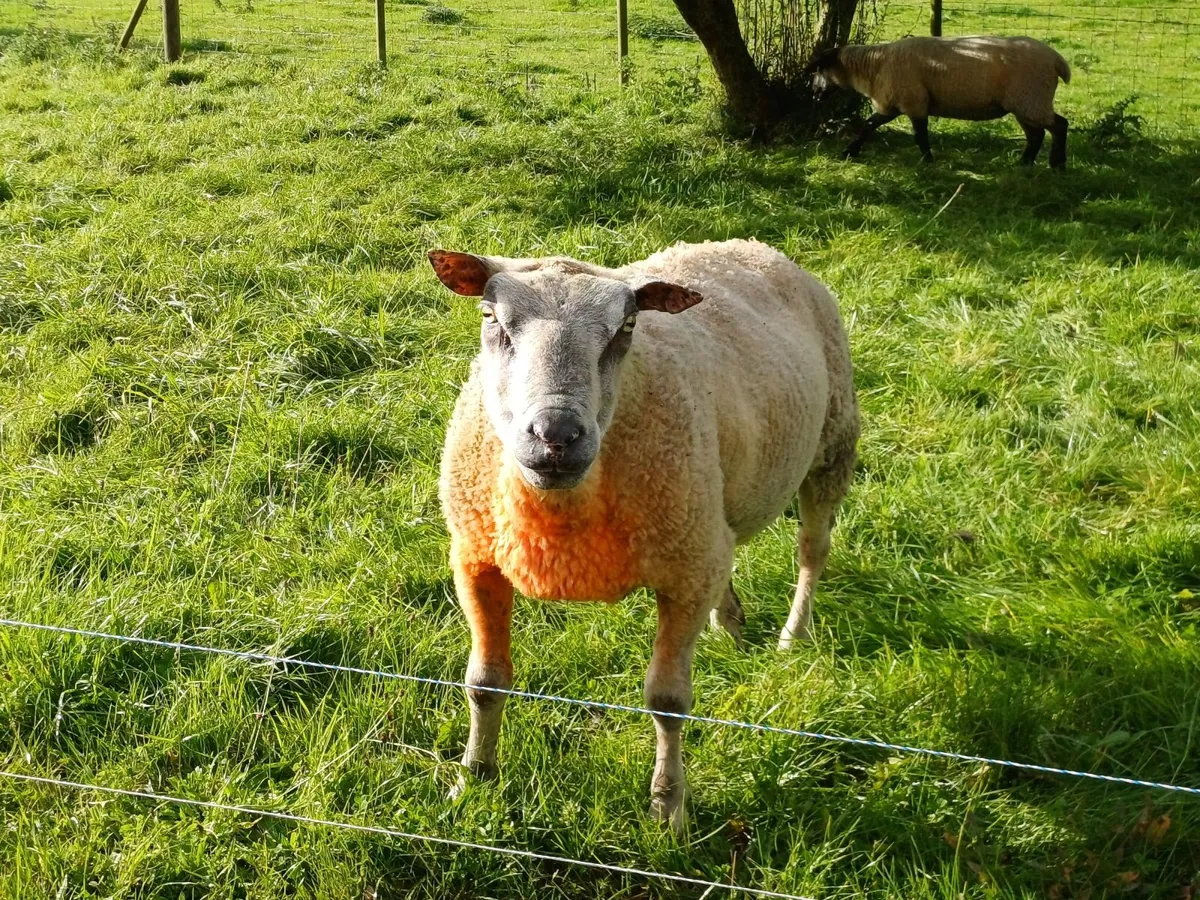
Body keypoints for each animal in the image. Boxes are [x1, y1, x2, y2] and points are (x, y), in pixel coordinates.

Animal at [429, 238, 859, 833]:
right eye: (492, 318)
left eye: (627, 327)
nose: (556, 435)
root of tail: (753, 246)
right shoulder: (475, 559)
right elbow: (484, 682)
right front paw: (473, 779)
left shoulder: (682, 575)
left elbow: (668, 701)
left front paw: (669, 810)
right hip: (708, 514)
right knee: (727, 554)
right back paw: (730, 624)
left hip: (832, 444)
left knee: (812, 551)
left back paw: (793, 636)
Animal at [810, 35, 1071, 167]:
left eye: (819, 69)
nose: (813, 92)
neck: (873, 66)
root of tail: (1057, 60)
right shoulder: (893, 103)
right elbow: (868, 126)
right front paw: (849, 152)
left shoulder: (913, 100)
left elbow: (920, 135)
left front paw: (927, 161)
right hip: (1026, 103)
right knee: (1036, 134)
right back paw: (1025, 163)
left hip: (1031, 98)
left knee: (1059, 125)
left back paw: (1057, 163)